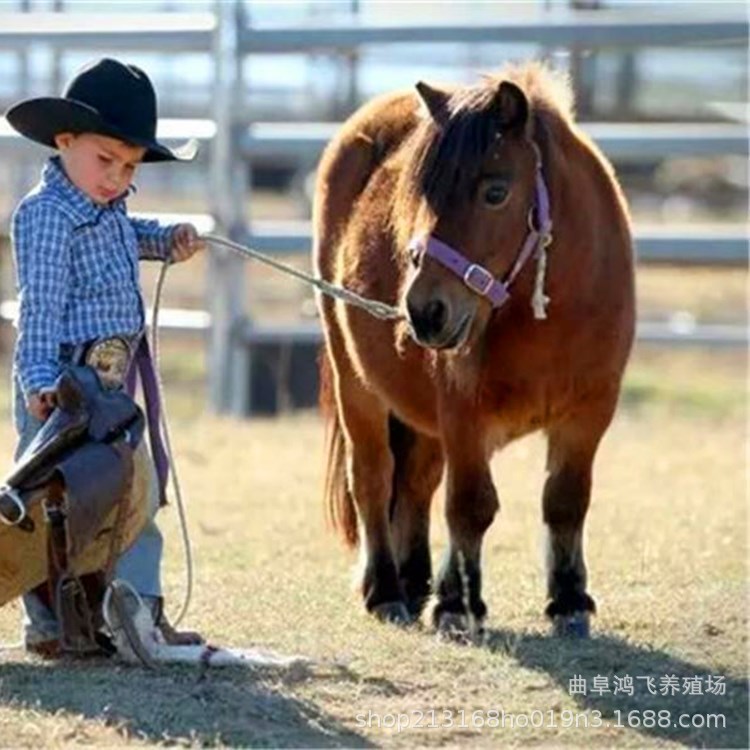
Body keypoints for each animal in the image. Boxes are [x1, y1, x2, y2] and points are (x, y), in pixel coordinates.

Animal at [313, 62, 635, 637]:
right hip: (356, 383)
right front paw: (458, 605)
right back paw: (387, 590)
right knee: (372, 476)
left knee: (415, 482)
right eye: (421, 193)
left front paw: (569, 599)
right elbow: (470, 505)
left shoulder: (591, 411)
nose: (424, 310)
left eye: (495, 192)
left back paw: (415, 579)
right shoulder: (464, 412)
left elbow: (566, 501)